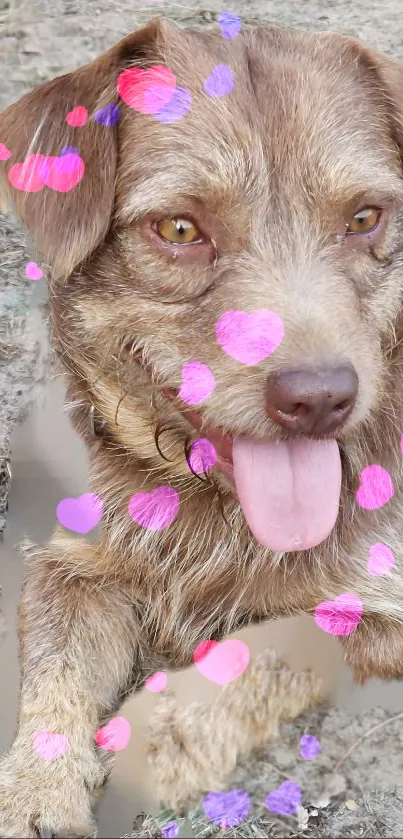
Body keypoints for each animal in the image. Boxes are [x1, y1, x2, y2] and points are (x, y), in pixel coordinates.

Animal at [0, 14, 403, 839]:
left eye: (364, 218)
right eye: (179, 227)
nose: (319, 398)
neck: (213, 508)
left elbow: (288, 635)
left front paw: (162, 733)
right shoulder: (72, 563)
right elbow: (54, 675)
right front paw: (36, 792)